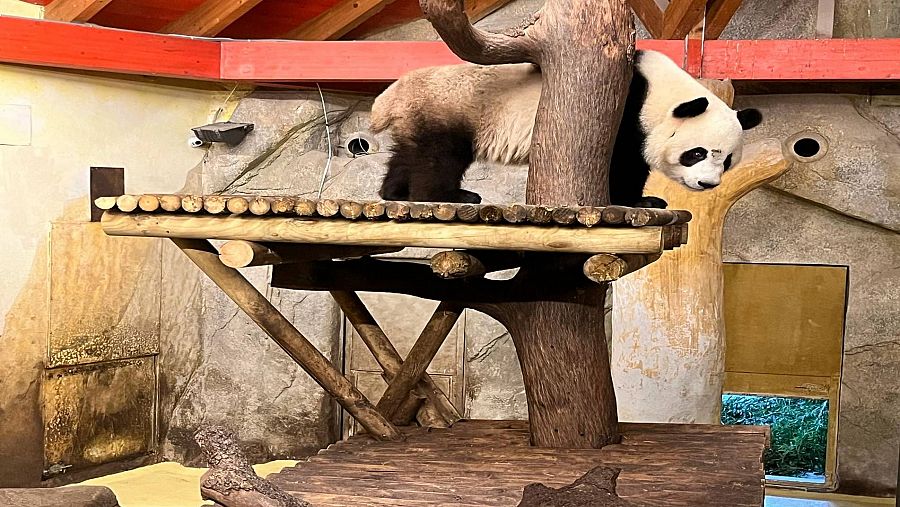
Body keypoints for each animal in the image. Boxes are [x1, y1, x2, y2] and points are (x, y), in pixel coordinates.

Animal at [369, 49, 763, 207]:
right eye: (696, 153)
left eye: (727, 160)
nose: (707, 184)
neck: (661, 91)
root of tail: (392, 95)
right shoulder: (625, 107)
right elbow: (621, 160)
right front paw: (639, 200)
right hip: (448, 106)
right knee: (439, 157)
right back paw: (449, 196)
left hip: (416, 116)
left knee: (408, 154)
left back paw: (394, 193)